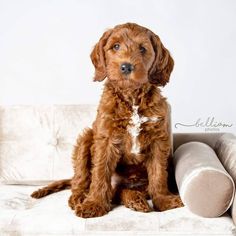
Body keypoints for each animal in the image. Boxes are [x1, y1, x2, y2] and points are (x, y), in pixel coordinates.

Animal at [30, 22, 183, 218]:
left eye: (142, 49)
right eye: (115, 46)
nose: (126, 67)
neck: (131, 98)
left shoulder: (157, 139)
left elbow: (158, 174)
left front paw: (164, 201)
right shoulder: (106, 138)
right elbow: (100, 172)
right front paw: (94, 204)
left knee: (119, 191)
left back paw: (136, 200)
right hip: (86, 138)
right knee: (83, 180)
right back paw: (80, 198)